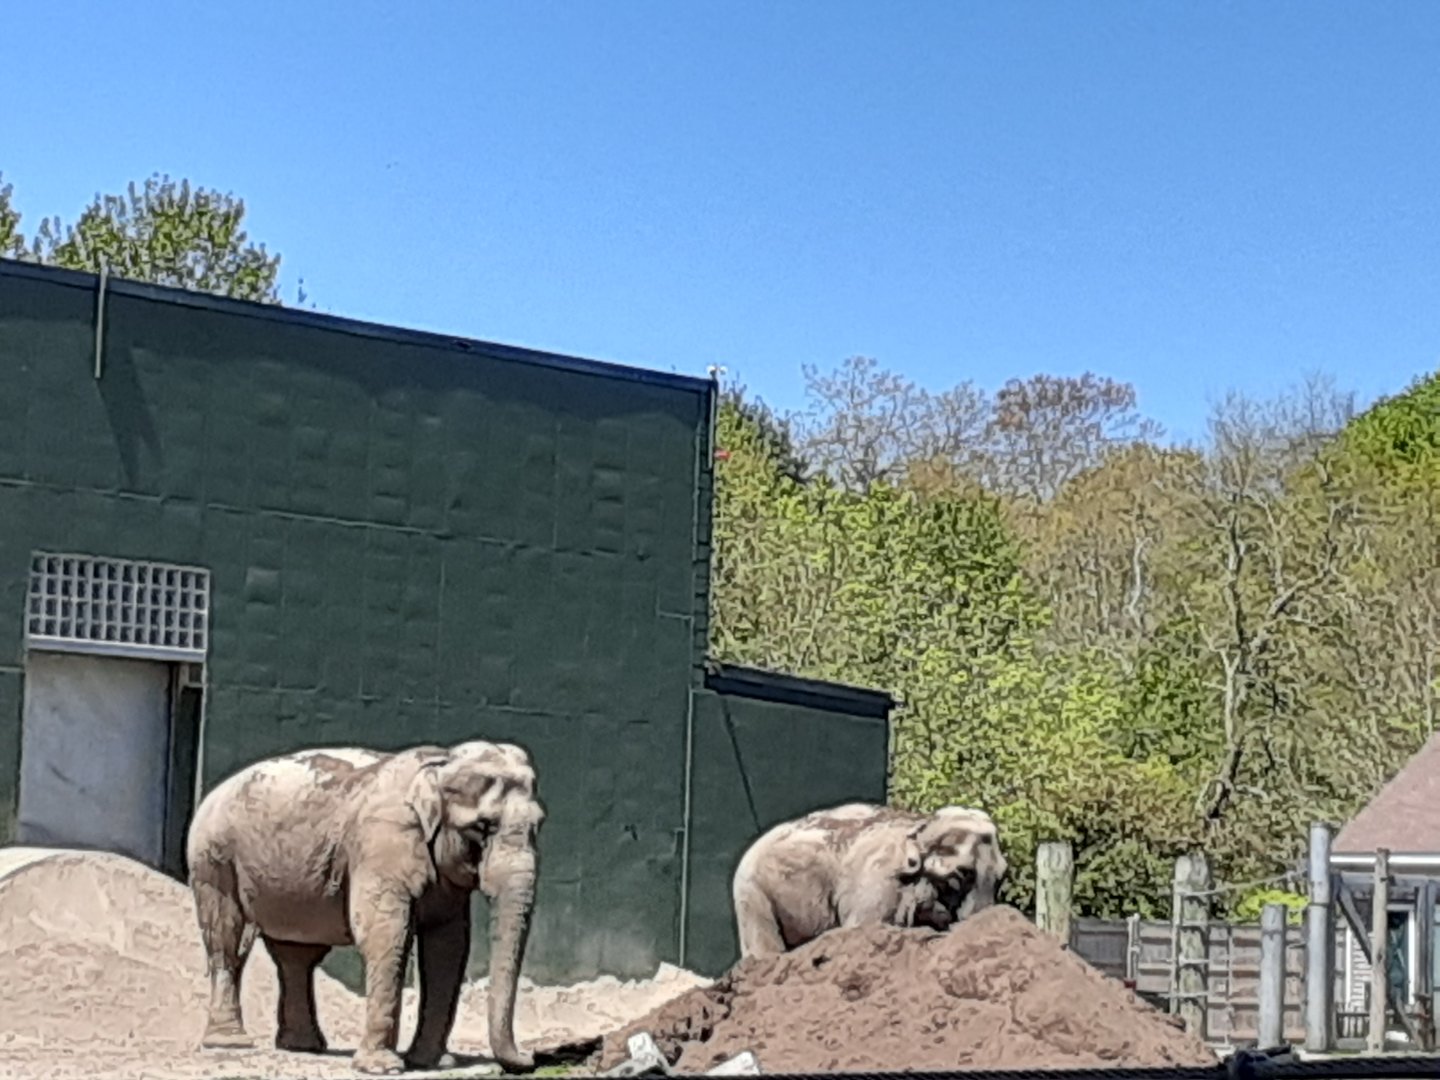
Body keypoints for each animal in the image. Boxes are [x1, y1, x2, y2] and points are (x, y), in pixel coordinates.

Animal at [184, 739, 545, 1076]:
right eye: (483, 826)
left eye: (539, 825)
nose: (531, 1058)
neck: (440, 763)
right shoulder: (382, 842)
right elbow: (385, 933)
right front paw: (383, 1068)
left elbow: (448, 946)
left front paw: (433, 1064)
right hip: (213, 859)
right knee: (228, 940)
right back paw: (229, 1043)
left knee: (296, 955)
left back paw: (303, 1046)